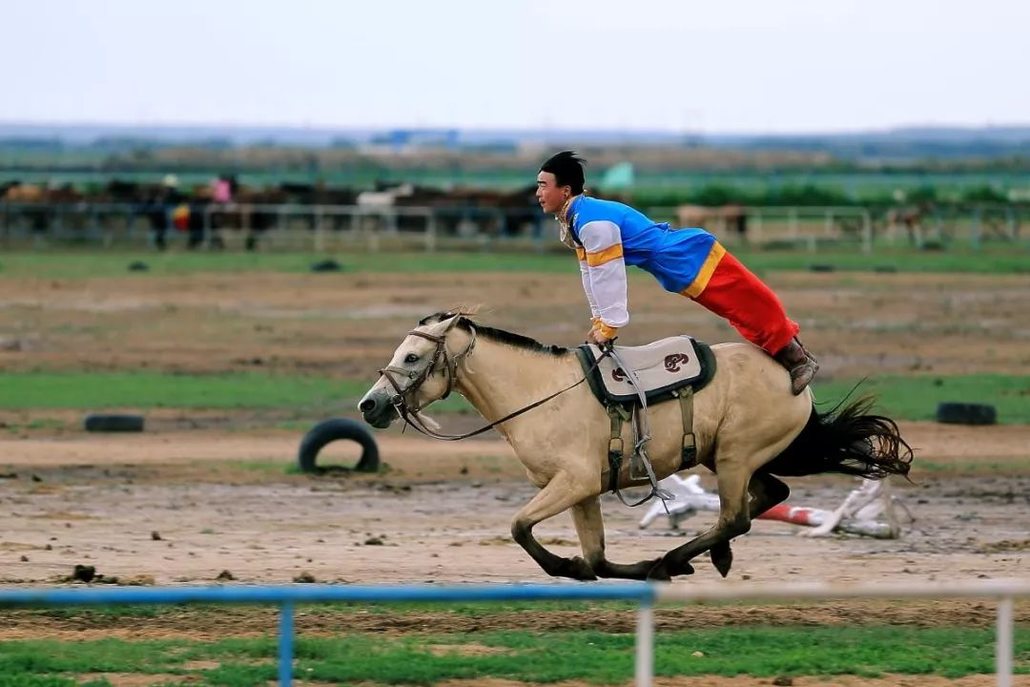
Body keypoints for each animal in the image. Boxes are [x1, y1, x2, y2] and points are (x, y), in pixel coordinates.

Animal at [360, 311, 910, 580]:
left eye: (411, 357)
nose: (369, 405)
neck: (540, 392)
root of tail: (795, 377)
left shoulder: (573, 482)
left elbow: (520, 527)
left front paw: (568, 567)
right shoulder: (582, 492)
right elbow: (598, 558)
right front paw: (606, 568)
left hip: (735, 457)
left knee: (737, 516)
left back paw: (679, 559)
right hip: (733, 459)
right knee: (769, 497)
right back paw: (702, 558)